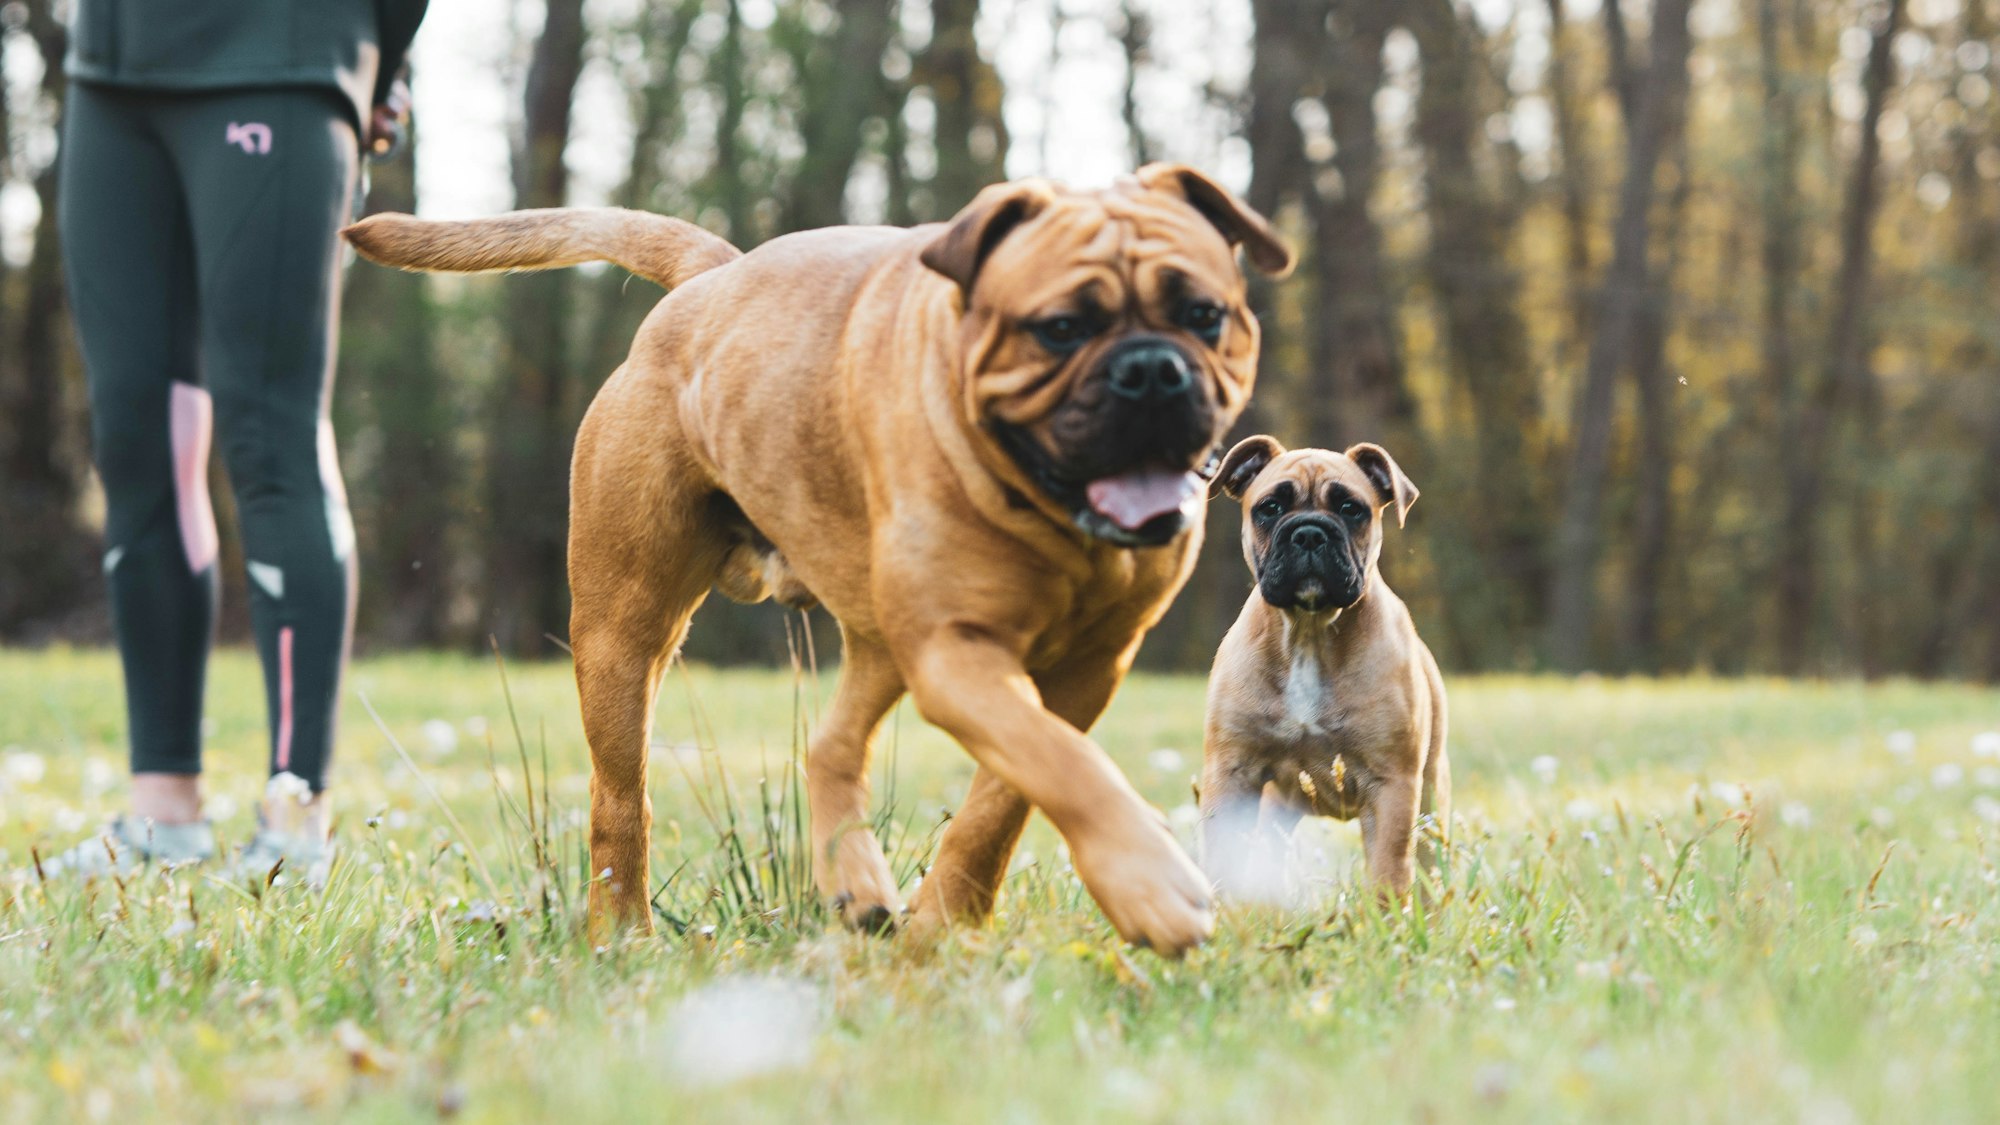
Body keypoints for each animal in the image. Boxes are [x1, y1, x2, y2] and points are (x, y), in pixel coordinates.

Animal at [346, 168, 1296, 952]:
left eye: (1203, 314)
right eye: (1060, 329)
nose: (1154, 372)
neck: (1051, 520)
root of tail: (714, 277)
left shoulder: (1087, 668)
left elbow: (1006, 798)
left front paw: (947, 919)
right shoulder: (955, 652)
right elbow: (1062, 765)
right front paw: (1151, 886)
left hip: (874, 637)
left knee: (830, 744)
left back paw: (859, 884)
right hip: (626, 632)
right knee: (621, 799)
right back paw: (624, 934)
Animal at [1192, 434, 1448, 896]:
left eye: (1351, 509)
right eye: (1270, 507)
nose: (1309, 532)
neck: (1308, 633)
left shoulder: (1392, 785)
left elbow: (1389, 869)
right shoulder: (1232, 773)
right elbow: (1222, 860)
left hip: (1431, 801)